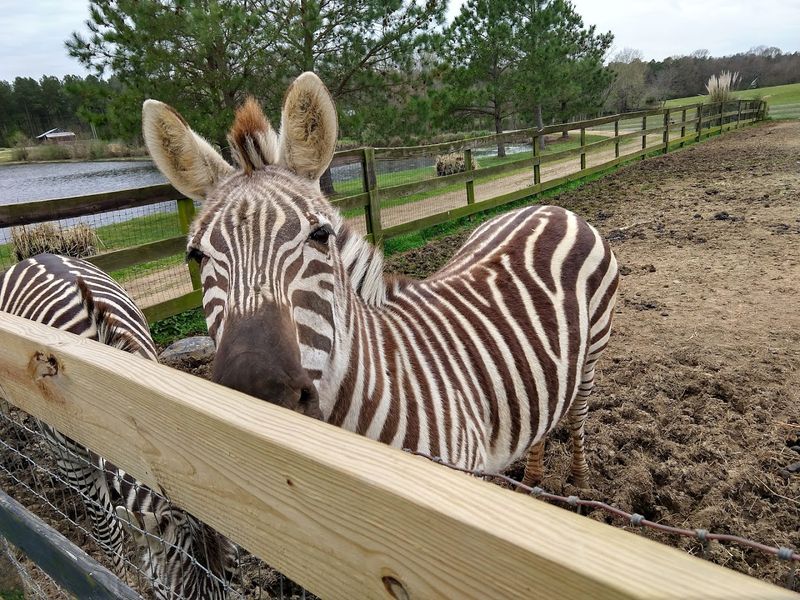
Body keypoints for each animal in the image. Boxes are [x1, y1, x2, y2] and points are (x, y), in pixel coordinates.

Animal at [0, 253, 237, 598]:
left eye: (232, 591)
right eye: (170, 595)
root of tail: (36, 256)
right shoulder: (75, 463)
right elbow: (107, 531)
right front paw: (119, 583)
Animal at [141, 72, 619, 488]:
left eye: (321, 236)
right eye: (196, 256)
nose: (252, 403)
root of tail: (548, 208)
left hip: (592, 354)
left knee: (578, 415)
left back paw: (580, 484)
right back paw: (534, 479)